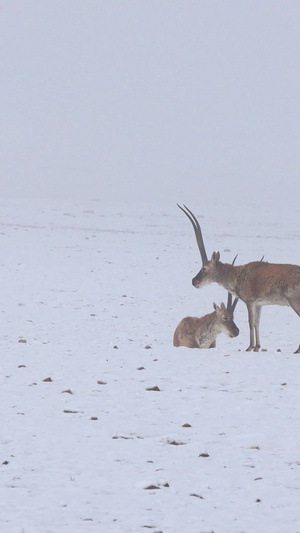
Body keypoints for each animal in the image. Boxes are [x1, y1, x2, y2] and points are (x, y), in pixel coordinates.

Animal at [178, 204, 300, 354]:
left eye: (204, 268)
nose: (194, 281)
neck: (238, 274)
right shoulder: (259, 304)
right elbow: (257, 323)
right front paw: (257, 347)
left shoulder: (250, 301)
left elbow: (250, 322)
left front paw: (249, 347)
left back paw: (297, 350)